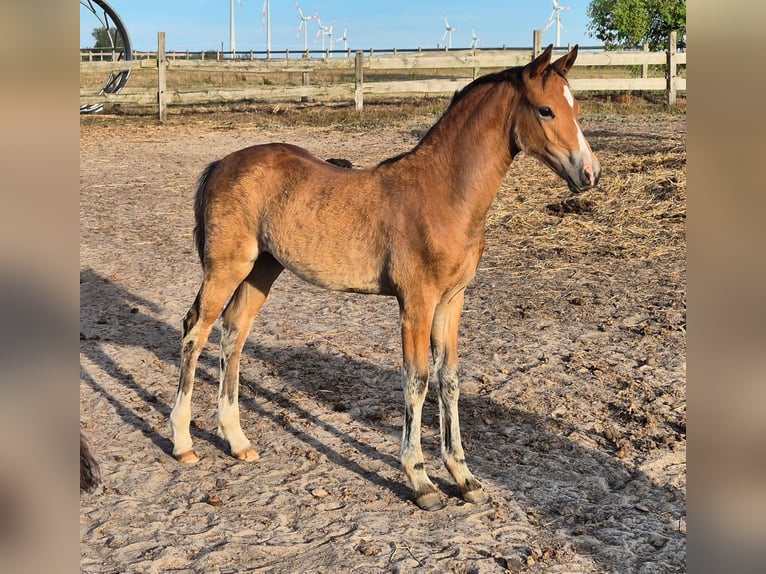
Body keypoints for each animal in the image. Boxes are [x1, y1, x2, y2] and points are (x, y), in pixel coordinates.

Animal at [171, 46, 604, 512]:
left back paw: (237, 441)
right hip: (227, 267)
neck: (443, 193)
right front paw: (420, 480)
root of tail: (222, 163)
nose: (589, 173)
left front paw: (463, 476)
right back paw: (183, 442)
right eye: (545, 110)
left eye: (576, 108)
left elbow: (450, 380)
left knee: (233, 334)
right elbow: (416, 381)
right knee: (195, 333)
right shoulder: (415, 303)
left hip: (262, 269)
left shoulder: (452, 301)